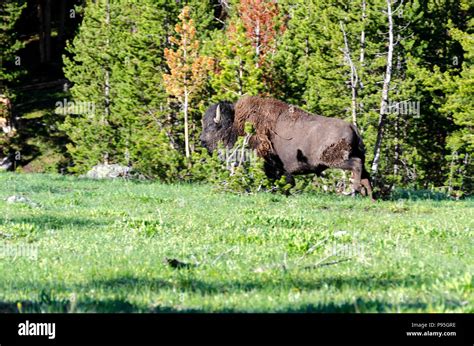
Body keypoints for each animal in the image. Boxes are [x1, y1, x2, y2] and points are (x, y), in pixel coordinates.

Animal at [200, 96, 374, 199]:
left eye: (213, 125)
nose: (202, 140)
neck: (237, 122)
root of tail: (353, 127)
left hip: (336, 159)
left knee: (356, 166)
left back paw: (353, 191)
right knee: (365, 173)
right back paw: (369, 196)